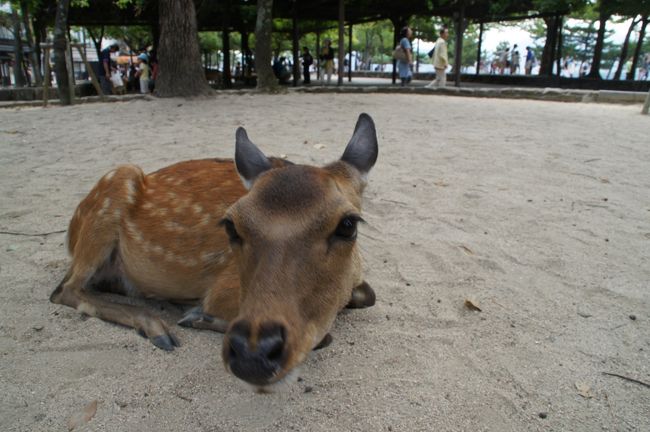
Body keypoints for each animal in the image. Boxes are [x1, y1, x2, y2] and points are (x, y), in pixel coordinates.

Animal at [50, 113, 378, 390]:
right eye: (231, 225)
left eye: (348, 224)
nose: (252, 354)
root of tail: (71, 232)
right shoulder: (223, 289)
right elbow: (326, 335)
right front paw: (198, 316)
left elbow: (368, 296)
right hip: (112, 191)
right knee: (64, 289)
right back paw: (155, 325)